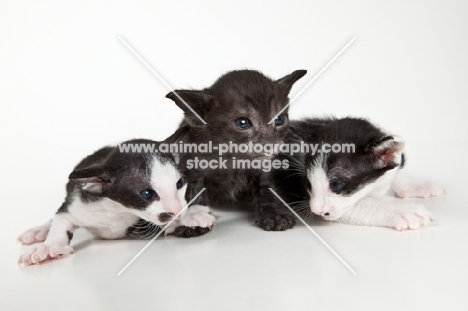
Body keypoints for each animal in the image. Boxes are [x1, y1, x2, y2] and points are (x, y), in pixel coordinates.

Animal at [165, 69, 308, 233]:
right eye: (242, 123)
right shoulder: (191, 168)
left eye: (279, 120)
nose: (272, 144)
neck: (233, 159)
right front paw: (193, 220)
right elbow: (193, 193)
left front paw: (274, 215)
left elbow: (266, 188)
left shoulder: (264, 167)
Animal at [272, 118, 444, 230]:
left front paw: (420, 184)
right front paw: (404, 211)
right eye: (308, 183)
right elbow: (361, 205)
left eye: (336, 185)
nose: (315, 210)